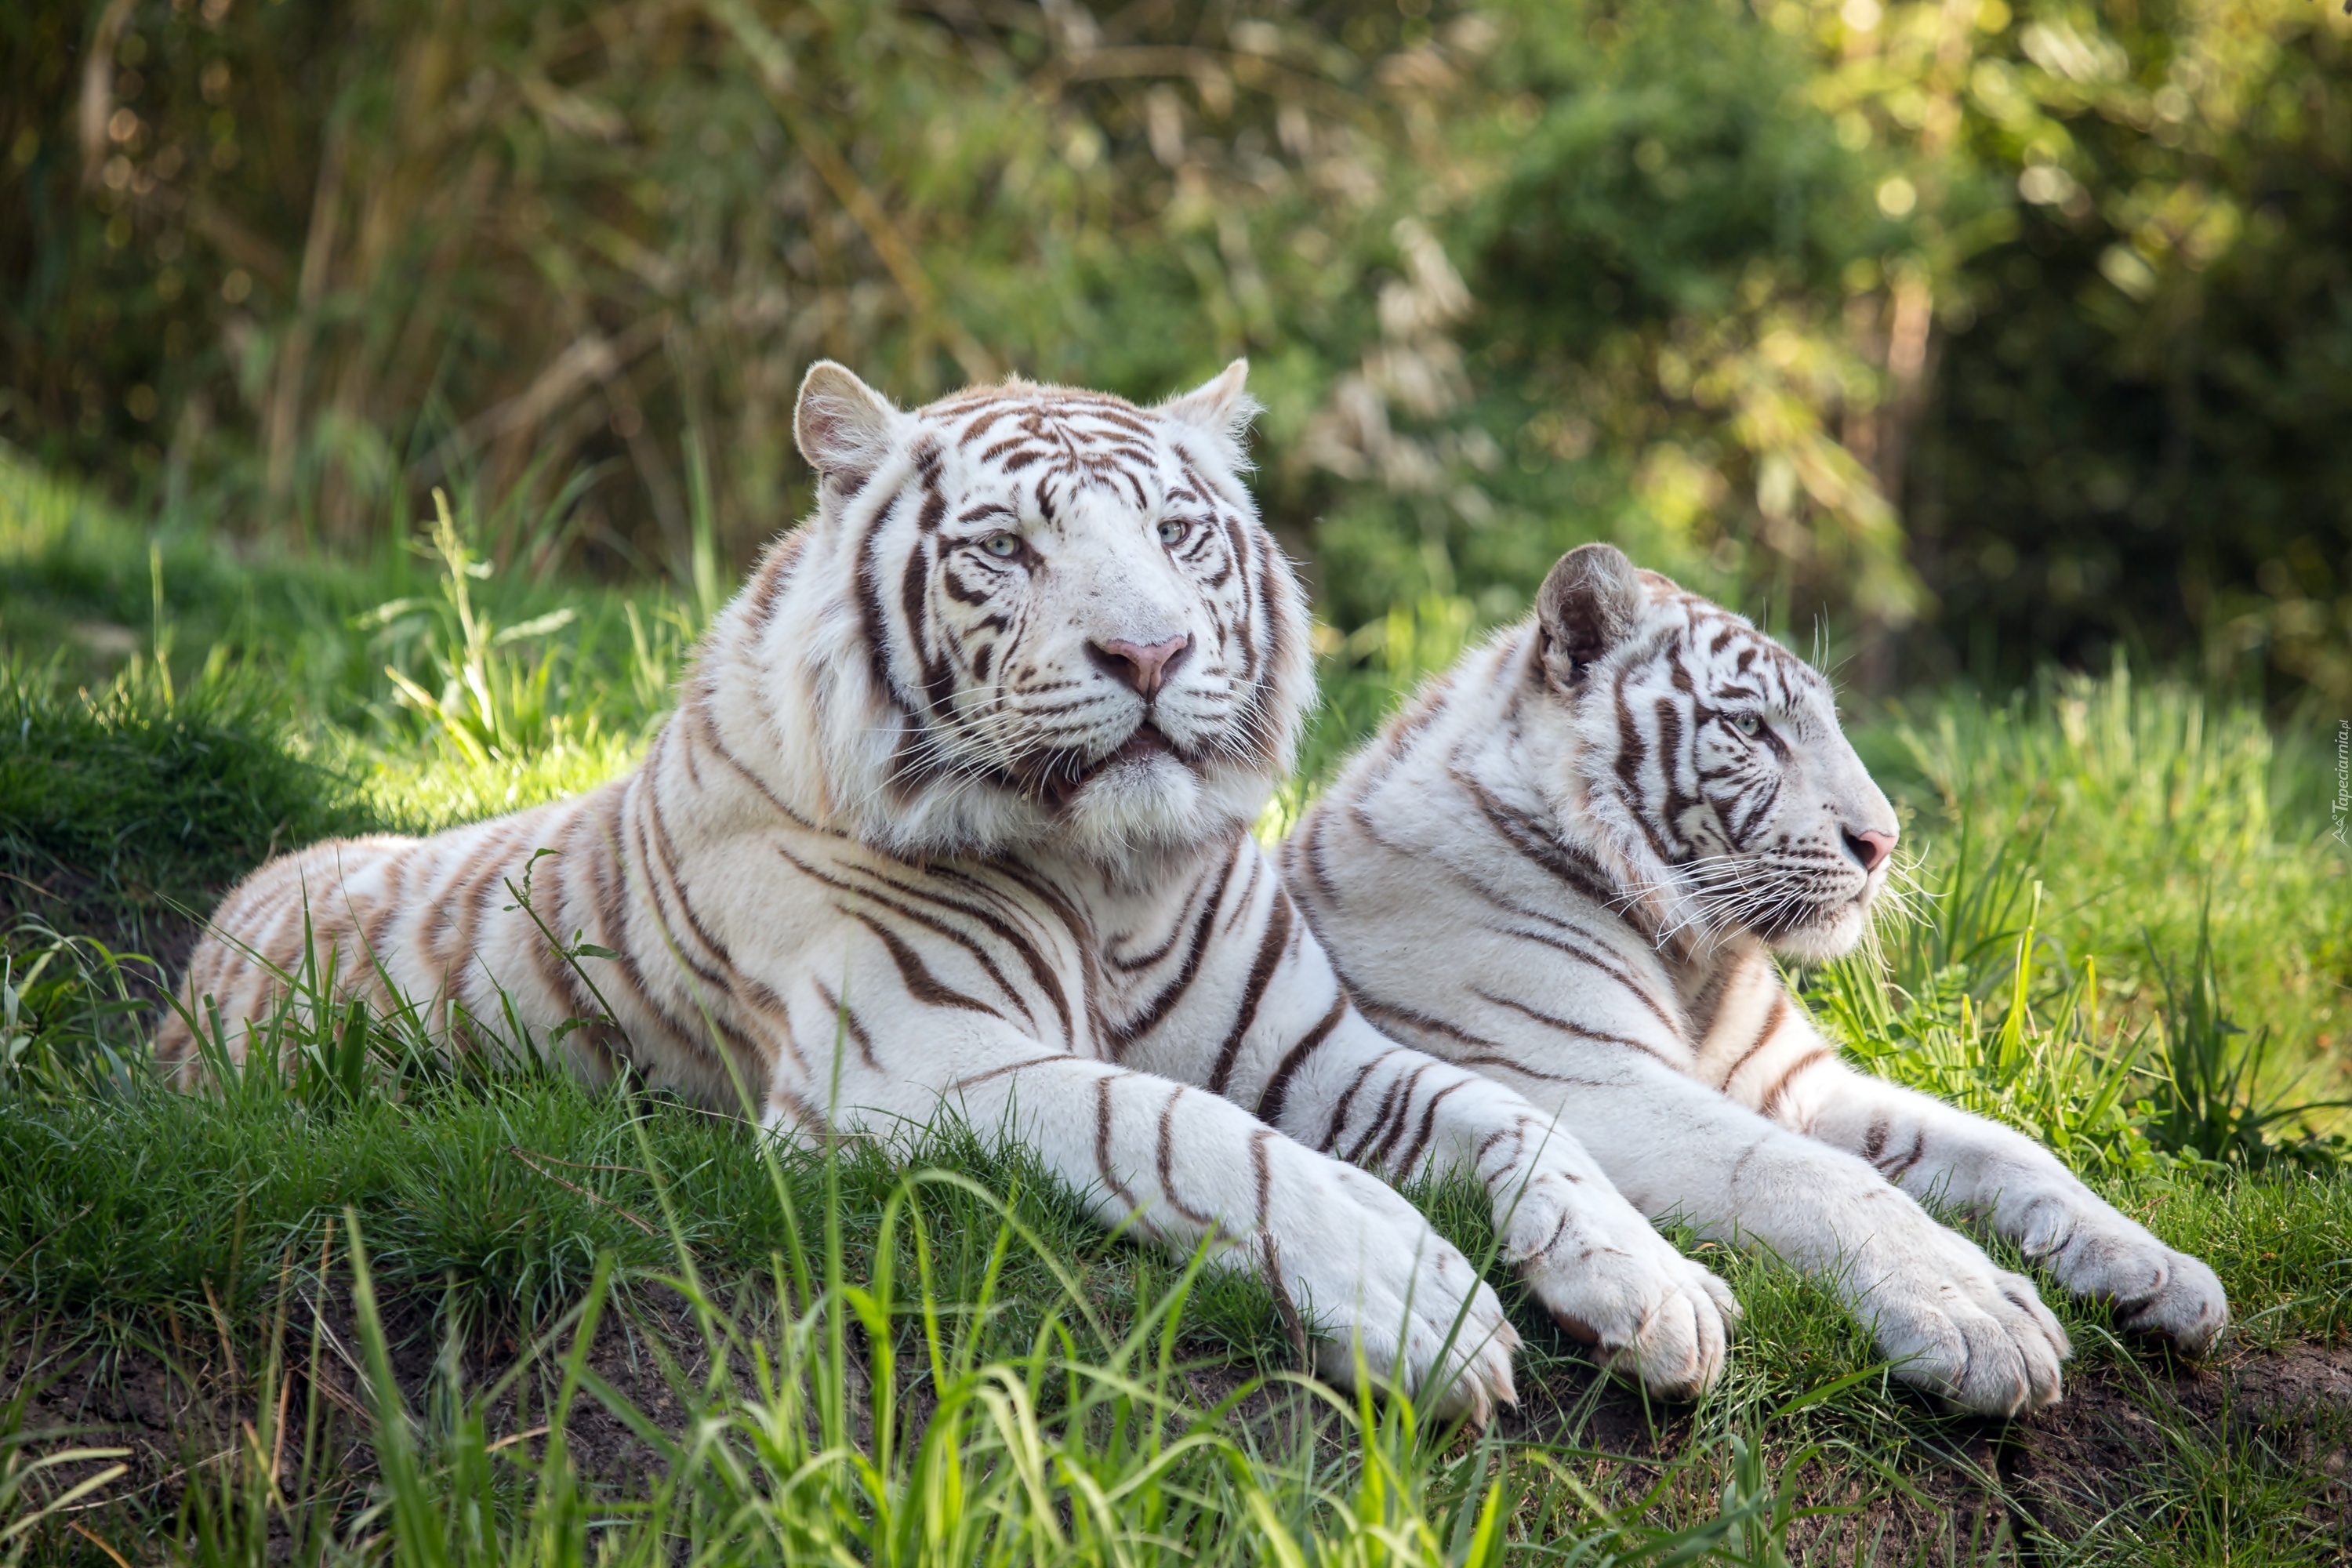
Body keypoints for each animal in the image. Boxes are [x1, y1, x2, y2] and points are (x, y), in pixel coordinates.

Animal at [156, 368, 1731, 1420]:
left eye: (1178, 534)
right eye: (1005, 549)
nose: (1149, 654)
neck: (1113, 879)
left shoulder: (1315, 1053)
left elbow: (1514, 1116)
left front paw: (1659, 1289)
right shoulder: (912, 1064)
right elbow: (1183, 1132)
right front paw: (1427, 1310)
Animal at [1289, 545, 2220, 1420]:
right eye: (1751, 728)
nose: (1883, 841)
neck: (1697, 957)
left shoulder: (1794, 1084)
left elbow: (2004, 1146)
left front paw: (2160, 1269)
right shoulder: (1583, 1075)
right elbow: (1822, 1179)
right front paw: (1980, 1315)